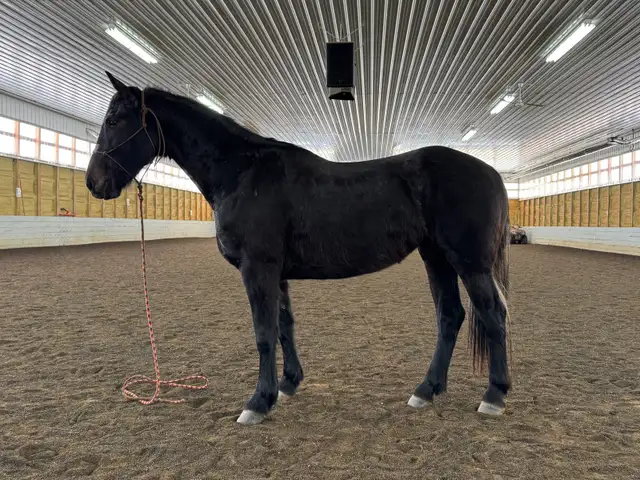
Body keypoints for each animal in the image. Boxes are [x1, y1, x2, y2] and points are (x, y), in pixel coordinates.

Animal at [86, 71, 512, 426]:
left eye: (113, 121)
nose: (94, 182)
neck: (242, 171)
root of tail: (491, 172)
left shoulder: (257, 268)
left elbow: (264, 332)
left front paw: (258, 403)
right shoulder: (277, 273)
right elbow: (284, 327)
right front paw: (288, 385)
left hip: (469, 264)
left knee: (492, 316)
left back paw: (493, 396)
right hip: (436, 257)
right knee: (450, 316)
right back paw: (427, 390)